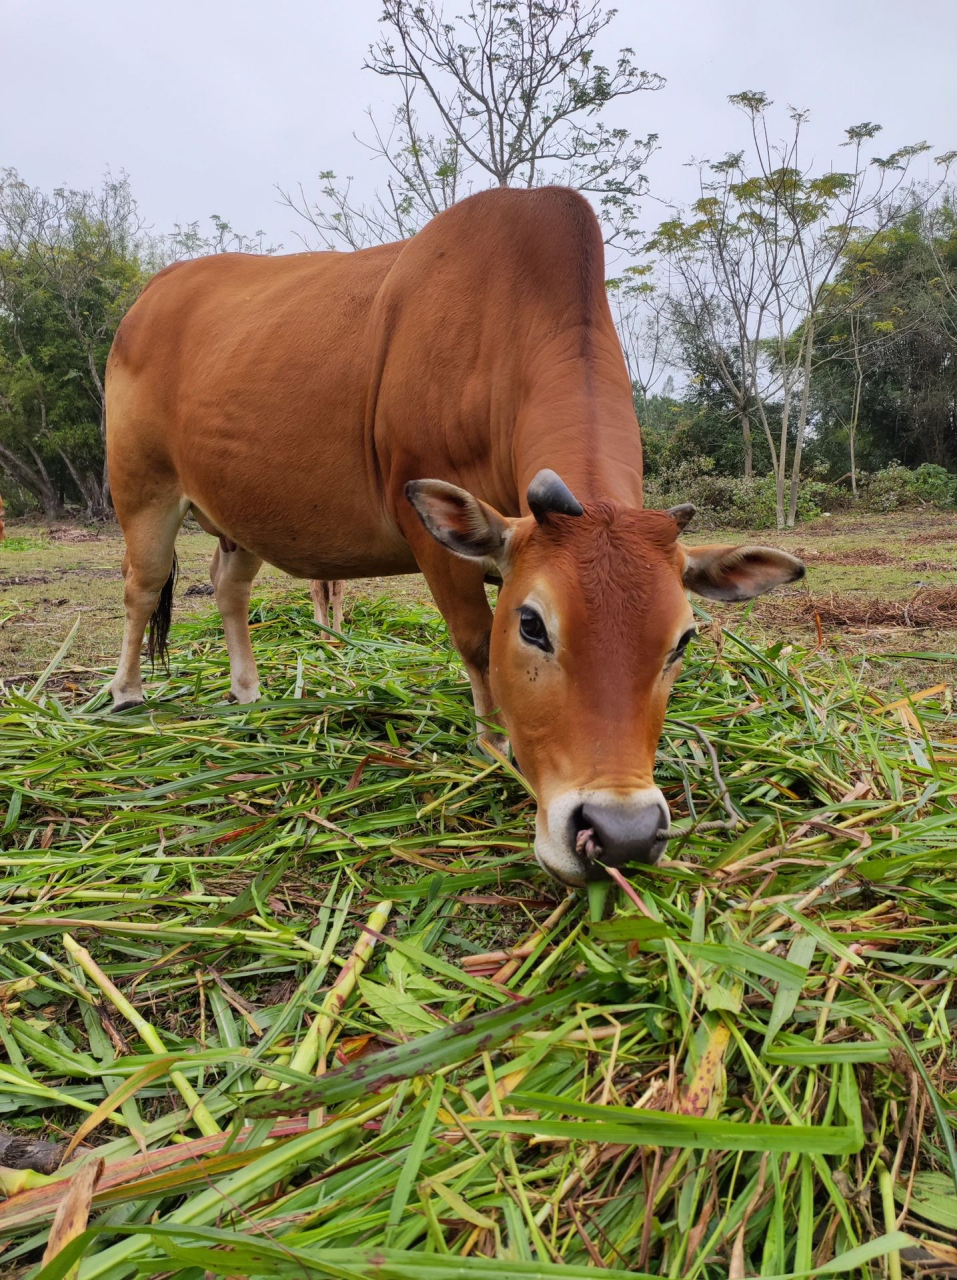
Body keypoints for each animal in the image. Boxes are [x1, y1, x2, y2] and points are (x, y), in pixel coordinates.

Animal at [106, 189, 798, 885]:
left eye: (682, 639)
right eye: (532, 626)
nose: (618, 833)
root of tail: (151, 295)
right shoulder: (432, 533)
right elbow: (473, 640)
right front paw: (493, 744)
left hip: (236, 518)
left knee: (229, 590)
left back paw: (248, 694)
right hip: (142, 489)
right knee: (141, 588)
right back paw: (127, 693)